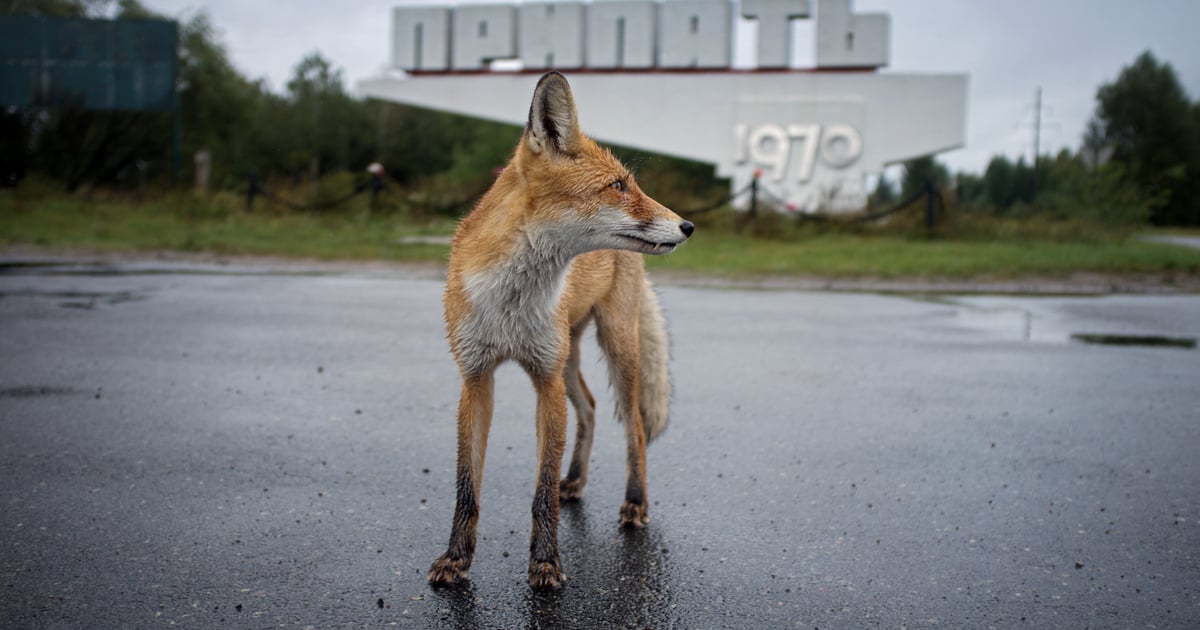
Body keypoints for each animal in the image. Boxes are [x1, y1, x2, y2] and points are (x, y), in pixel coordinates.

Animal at [432, 73, 696, 590]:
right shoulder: (476, 377)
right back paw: (574, 480)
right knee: (590, 408)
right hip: (569, 357)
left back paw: (635, 502)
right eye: (618, 185)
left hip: (616, 346)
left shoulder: (545, 379)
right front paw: (456, 559)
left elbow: (541, 494)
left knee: (634, 426)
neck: (512, 301)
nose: (688, 226)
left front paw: (545, 564)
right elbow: (467, 486)